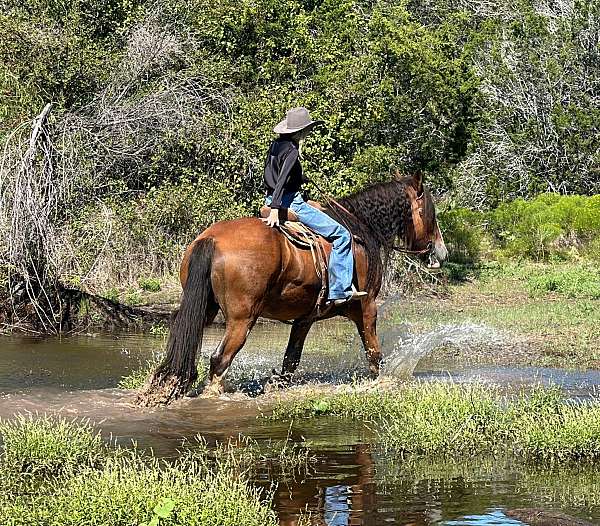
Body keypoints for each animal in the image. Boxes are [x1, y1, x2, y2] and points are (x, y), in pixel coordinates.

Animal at [136, 173, 446, 408]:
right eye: (429, 213)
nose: (441, 251)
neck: (361, 229)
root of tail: (211, 239)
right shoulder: (366, 306)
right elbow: (373, 353)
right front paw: (379, 383)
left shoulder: (305, 317)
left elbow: (290, 360)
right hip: (241, 320)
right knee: (219, 360)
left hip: (202, 309)